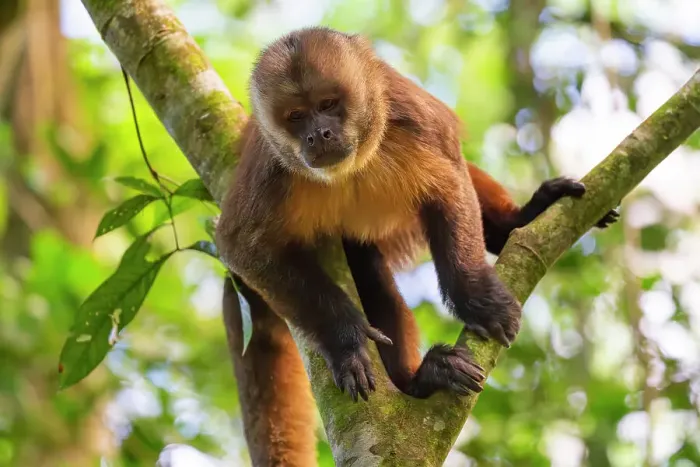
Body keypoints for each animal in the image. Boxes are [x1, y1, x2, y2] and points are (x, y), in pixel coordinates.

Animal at [216, 26, 619, 407]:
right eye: (296, 117)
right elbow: (242, 247)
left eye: (328, 104)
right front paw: (345, 339)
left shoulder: (410, 115)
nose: (318, 134)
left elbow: (450, 180)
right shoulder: (271, 170)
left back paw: (517, 223)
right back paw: (419, 382)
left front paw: (477, 297)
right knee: (368, 273)